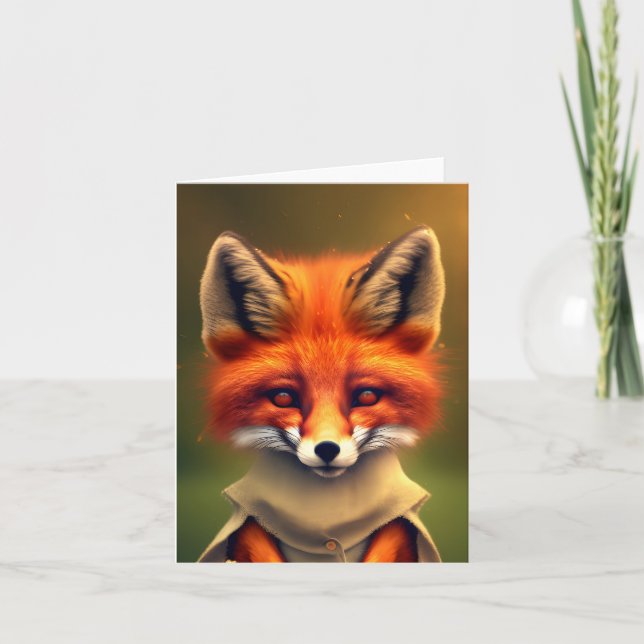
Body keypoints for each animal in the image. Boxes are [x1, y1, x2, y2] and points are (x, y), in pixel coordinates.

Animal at [197, 225, 446, 563]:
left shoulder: (400, 528)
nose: (327, 449)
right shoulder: (249, 528)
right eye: (283, 398)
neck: (326, 512)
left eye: (366, 396)